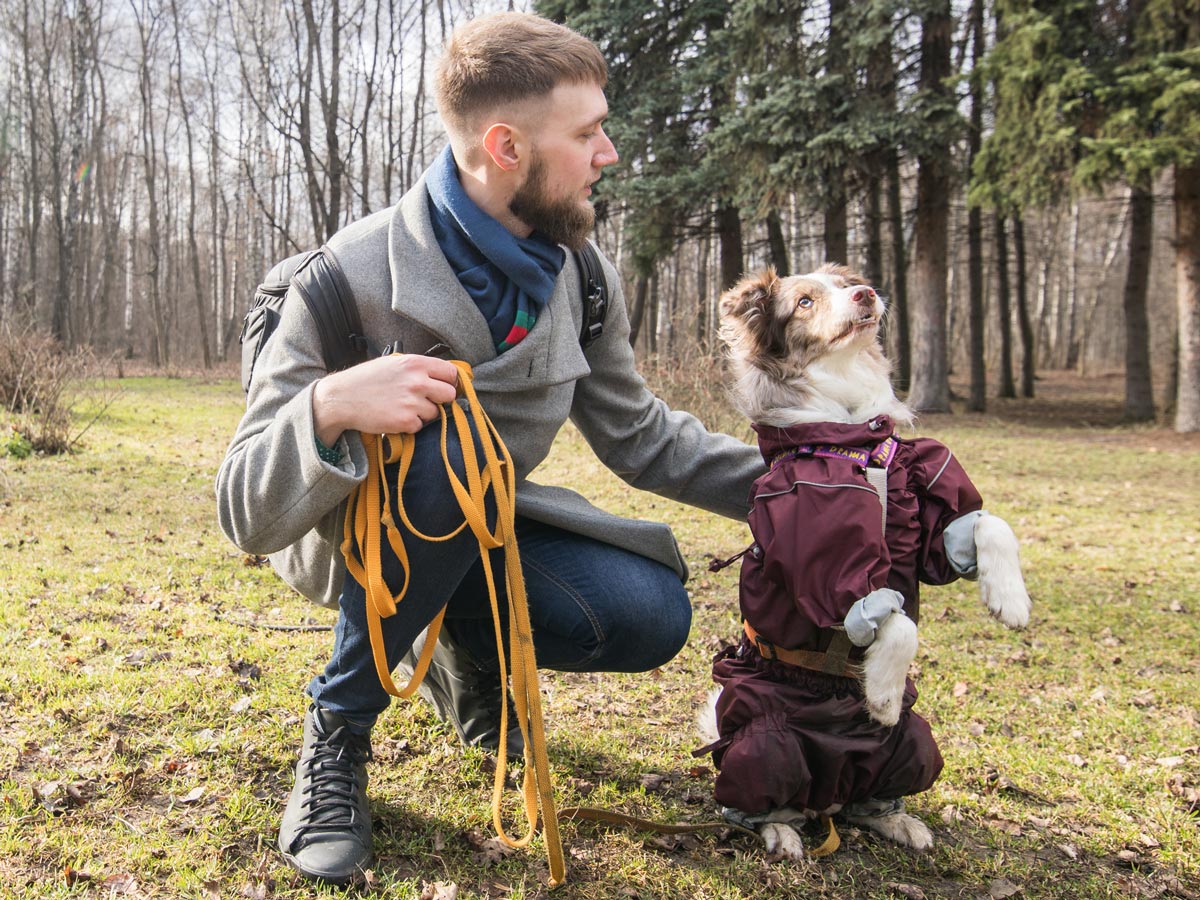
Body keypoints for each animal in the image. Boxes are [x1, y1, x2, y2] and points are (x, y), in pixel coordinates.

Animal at [700, 266, 1036, 859]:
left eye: (844, 283)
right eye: (804, 301)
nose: (868, 293)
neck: (855, 437)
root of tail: (826, 801)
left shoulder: (924, 506)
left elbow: (984, 524)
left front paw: (1010, 600)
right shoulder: (820, 546)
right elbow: (895, 620)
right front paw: (880, 693)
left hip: (911, 741)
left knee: (872, 791)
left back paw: (894, 818)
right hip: (767, 743)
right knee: (760, 794)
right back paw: (780, 829)